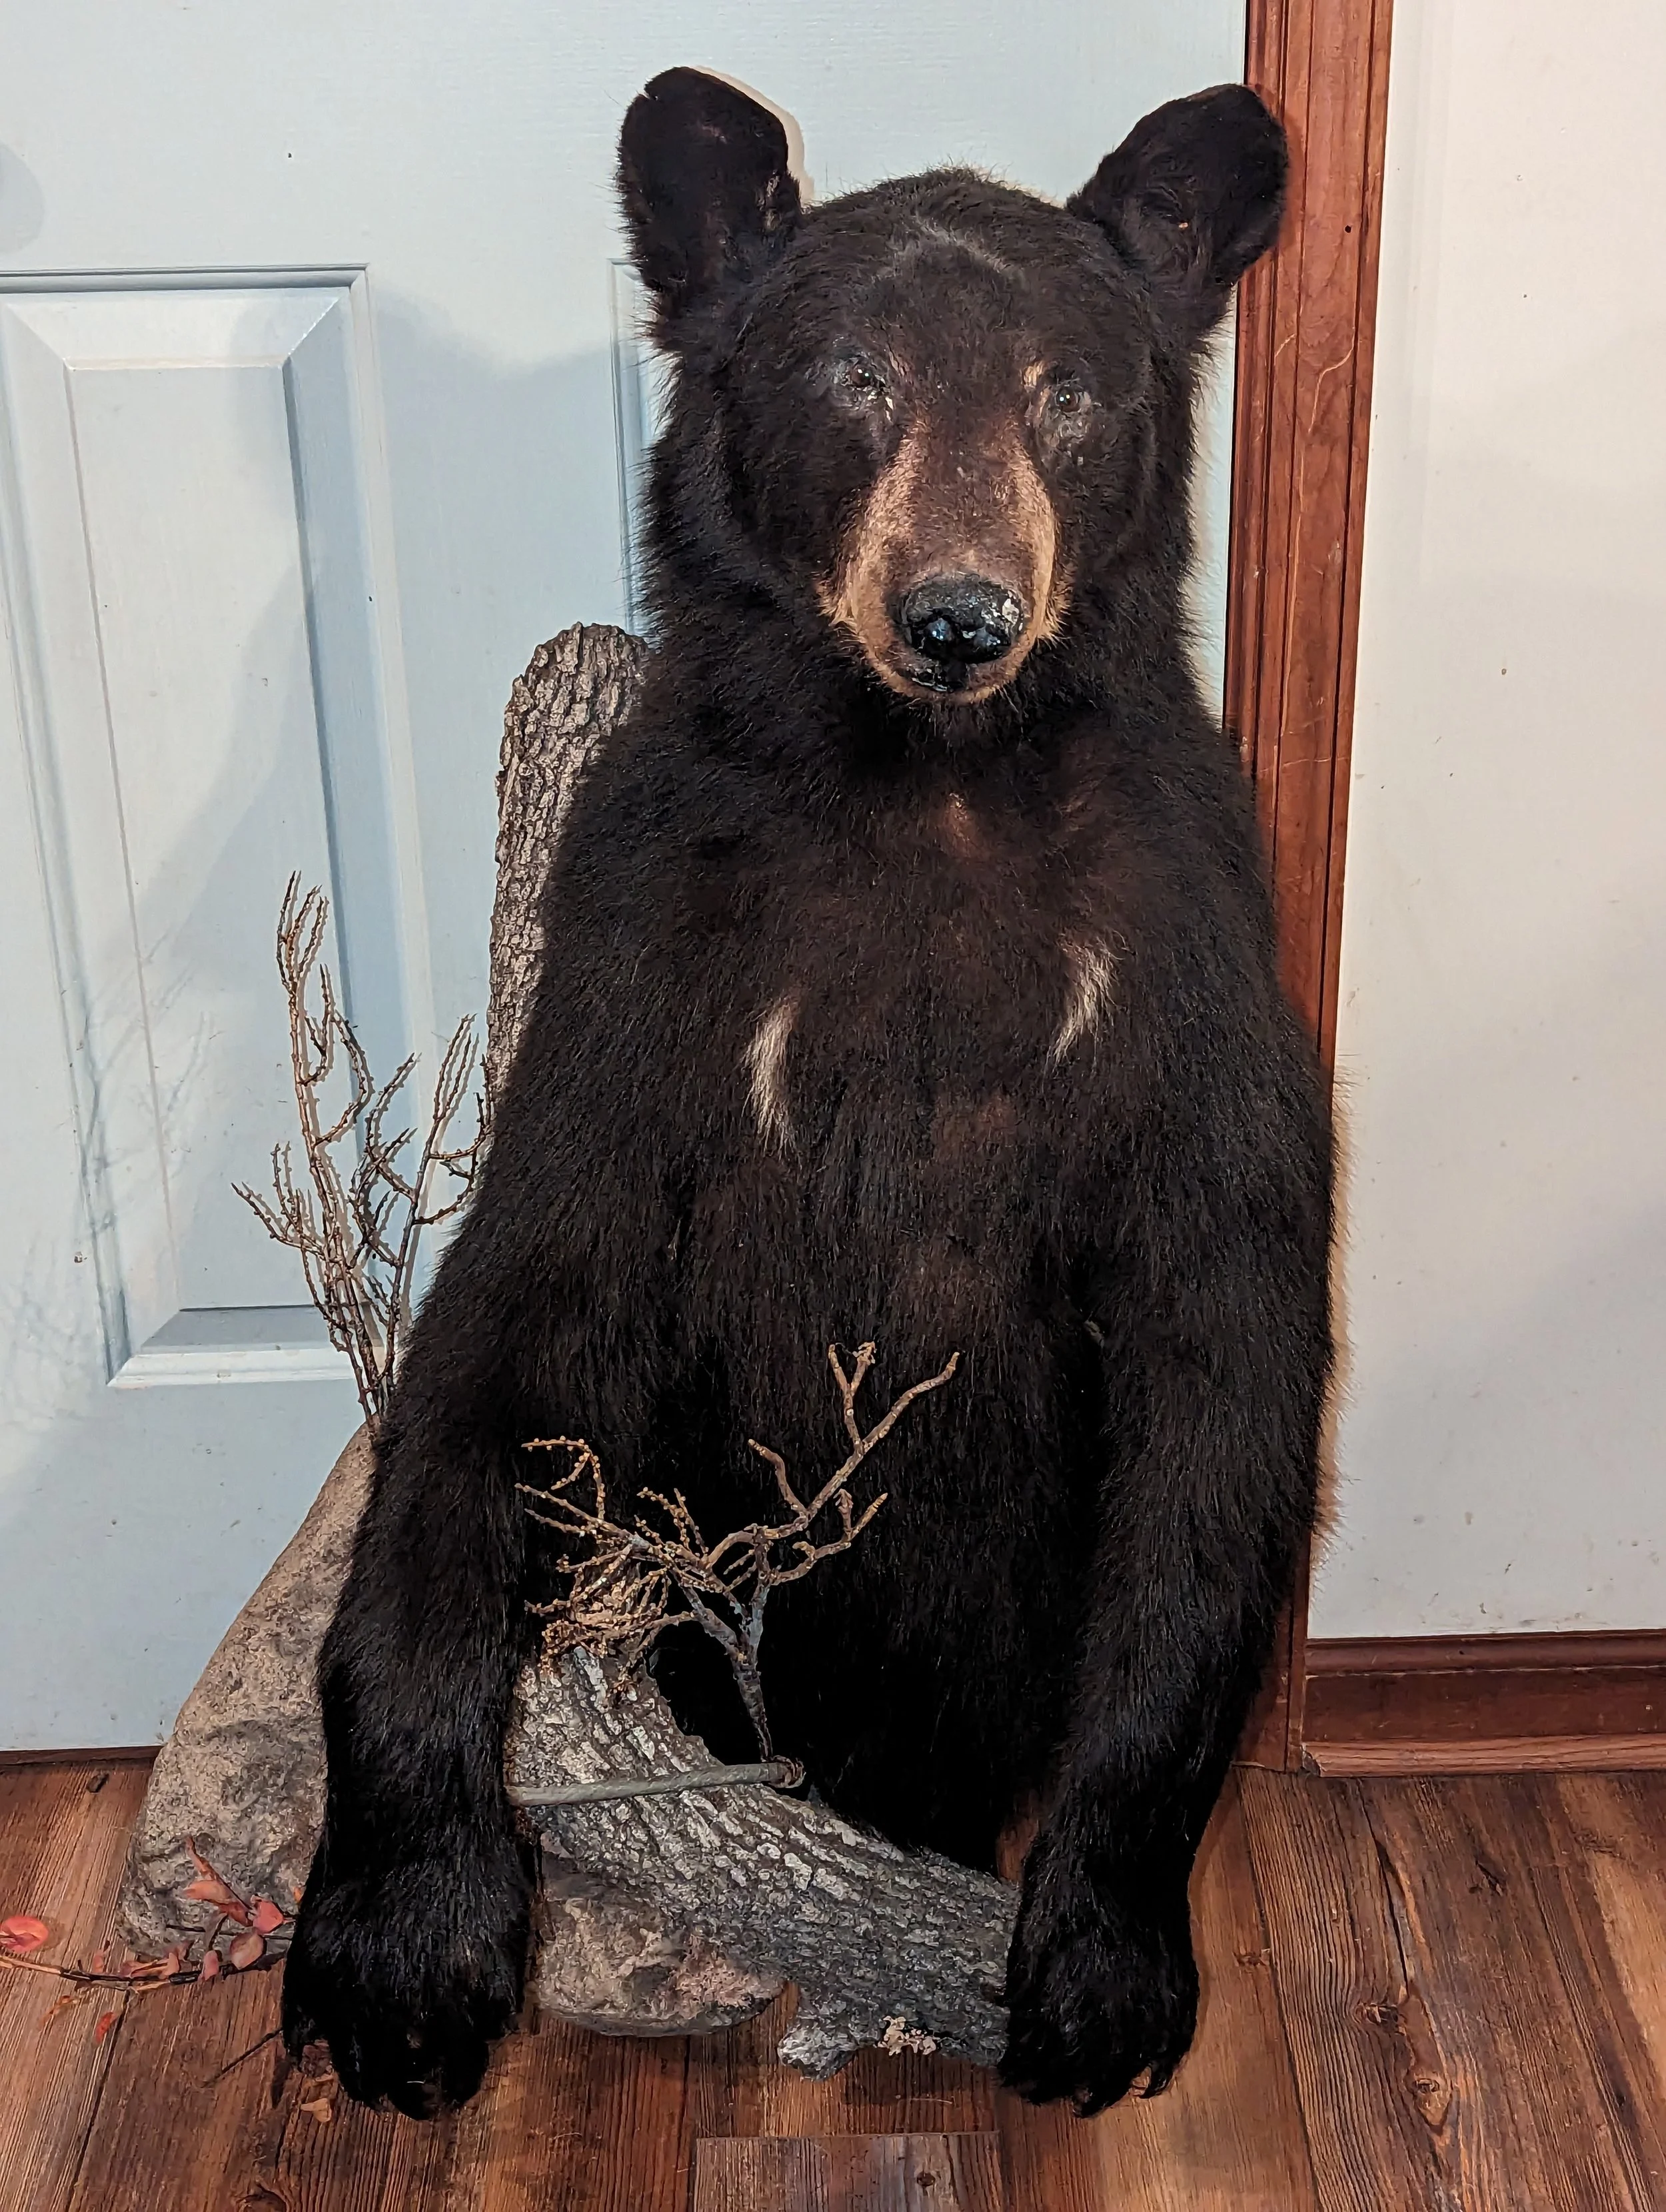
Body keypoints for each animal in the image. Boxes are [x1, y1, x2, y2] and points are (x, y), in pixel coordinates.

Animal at [281, 66, 1332, 2120]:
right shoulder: (645, 966)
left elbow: (1222, 1368)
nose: (960, 615)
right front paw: (403, 1949)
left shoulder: (1182, 968)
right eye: (854, 376)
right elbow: (505, 1333)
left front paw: (1100, 1965)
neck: (926, 792)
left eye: (1068, 391)